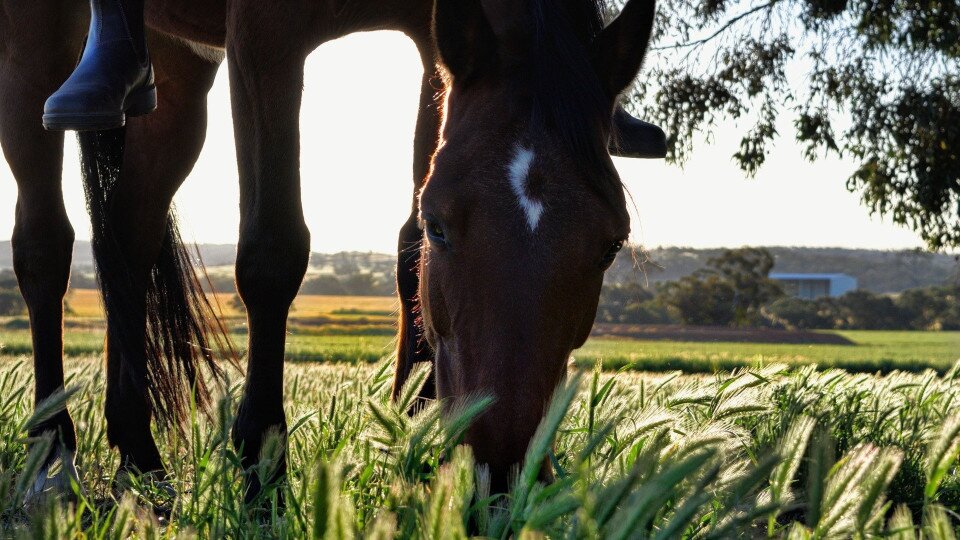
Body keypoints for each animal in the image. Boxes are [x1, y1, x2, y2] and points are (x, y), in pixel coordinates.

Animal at [0, 0, 664, 502]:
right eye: (443, 226)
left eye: (611, 244)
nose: (500, 474)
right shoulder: (264, 32)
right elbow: (273, 250)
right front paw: (261, 468)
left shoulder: (432, 42)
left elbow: (406, 247)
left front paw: (414, 435)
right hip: (37, 33)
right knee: (44, 246)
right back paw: (51, 456)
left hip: (178, 64)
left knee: (128, 232)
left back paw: (139, 458)